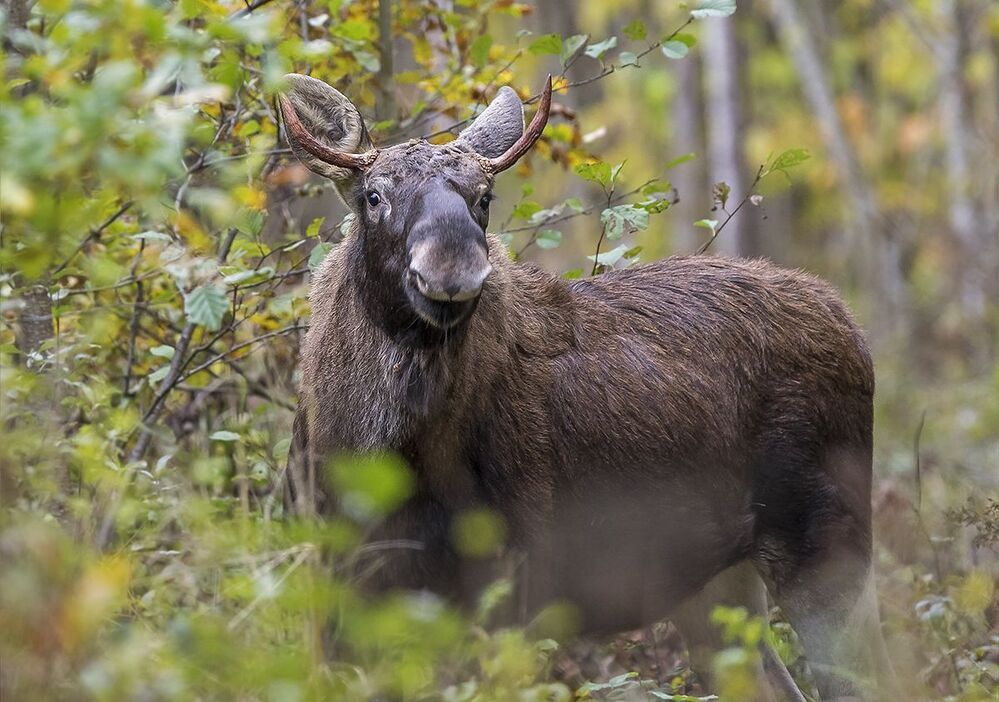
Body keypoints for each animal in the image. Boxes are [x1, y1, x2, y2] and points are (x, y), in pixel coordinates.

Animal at [278, 72, 898, 701]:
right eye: (373, 196)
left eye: (484, 197)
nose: (450, 265)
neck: (370, 451)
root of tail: (849, 321)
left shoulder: (511, 591)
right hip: (714, 586)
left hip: (826, 543)